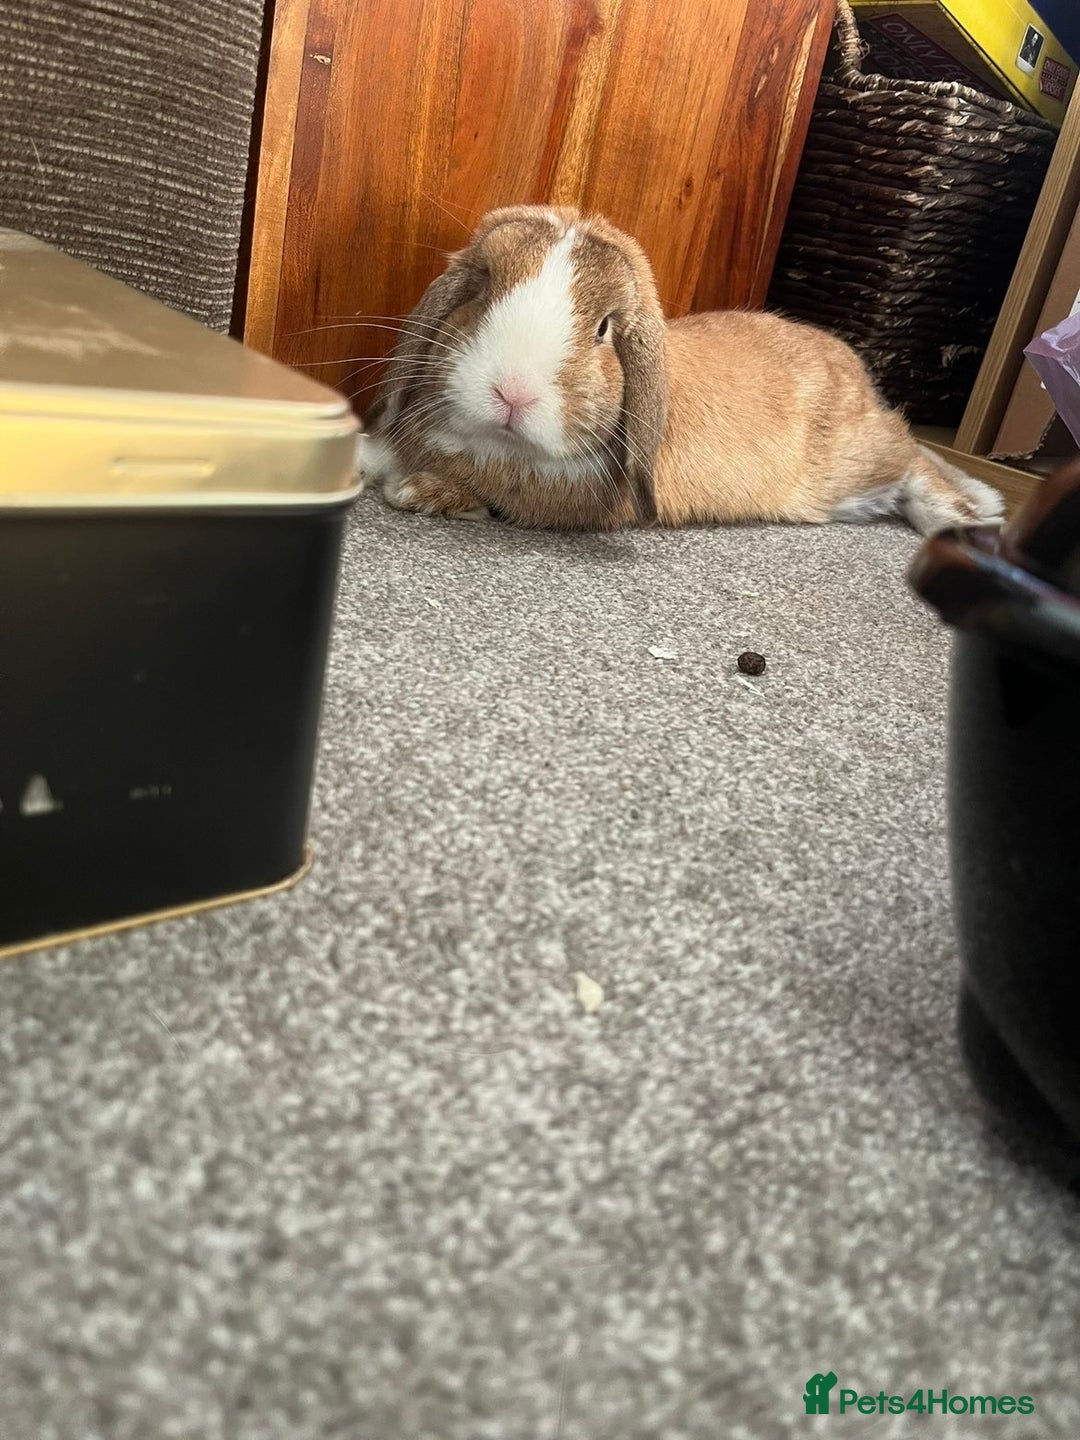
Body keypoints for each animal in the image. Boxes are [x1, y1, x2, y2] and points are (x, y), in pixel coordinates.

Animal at [356, 204, 1004, 535]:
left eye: (604, 329)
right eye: (483, 288)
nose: (512, 392)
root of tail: (858, 372)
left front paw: (418, 490)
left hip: (856, 462)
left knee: (914, 454)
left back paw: (966, 516)